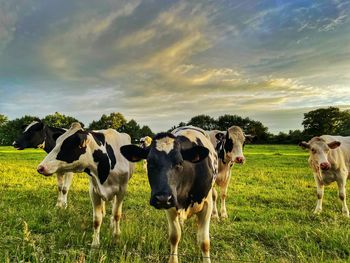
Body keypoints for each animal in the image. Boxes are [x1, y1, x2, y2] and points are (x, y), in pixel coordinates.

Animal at [121, 127, 217, 262]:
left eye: (180, 163)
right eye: (150, 162)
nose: (162, 198)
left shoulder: (207, 205)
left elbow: (204, 242)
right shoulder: (170, 206)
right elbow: (174, 236)